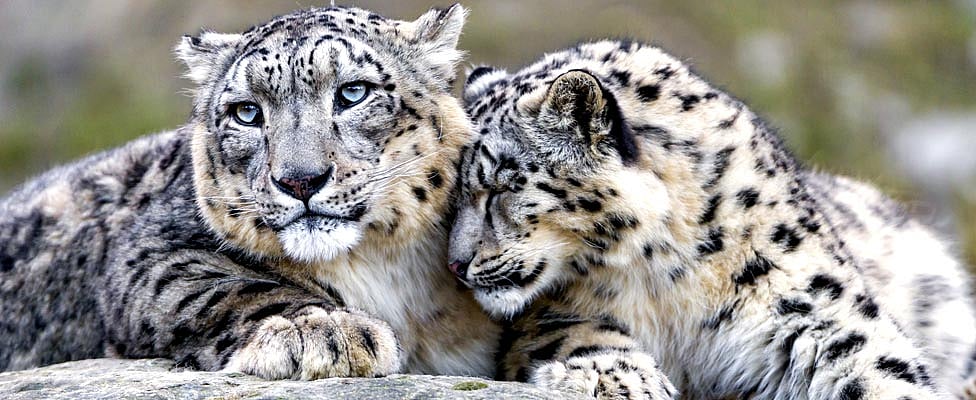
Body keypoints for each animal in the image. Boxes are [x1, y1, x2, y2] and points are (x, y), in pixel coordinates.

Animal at [0, 5, 500, 380]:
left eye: (353, 92)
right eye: (246, 112)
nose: (300, 179)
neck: (385, 272)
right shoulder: (149, 252)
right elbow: (222, 288)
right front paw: (324, 333)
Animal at [449, 40, 976, 399]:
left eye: (500, 186)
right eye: (454, 194)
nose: (455, 265)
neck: (666, 277)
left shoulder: (811, 304)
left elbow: (873, 361)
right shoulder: (546, 314)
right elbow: (574, 333)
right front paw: (620, 378)